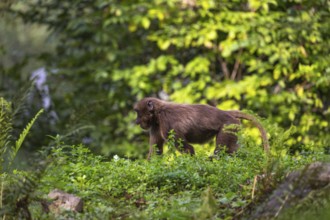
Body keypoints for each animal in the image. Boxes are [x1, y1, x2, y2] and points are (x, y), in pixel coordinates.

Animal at [133, 97, 270, 159]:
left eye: (138, 113)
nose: (136, 121)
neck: (158, 112)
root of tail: (225, 112)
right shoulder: (155, 125)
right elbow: (155, 152)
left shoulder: (166, 123)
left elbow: (188, 149)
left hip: (228, 125)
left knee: (222, 150)